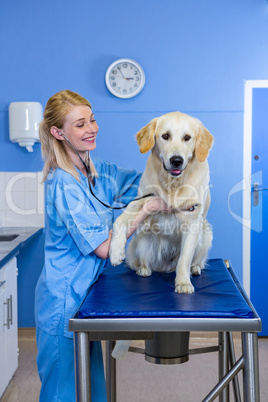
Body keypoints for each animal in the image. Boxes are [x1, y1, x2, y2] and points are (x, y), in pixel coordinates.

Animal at [109, 111, 214, 294]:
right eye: (165, 136)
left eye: (187, 137)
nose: (176, 160)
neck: (173, 184)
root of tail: (166, 267)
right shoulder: (142, 200)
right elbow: (119, 221)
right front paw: (115, 252)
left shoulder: (193, 220)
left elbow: (184, 259)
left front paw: (183, 283)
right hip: (142, 240)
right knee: (142, 261)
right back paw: (143, 269)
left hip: (206, 234)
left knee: (194, 261)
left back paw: (194, 268)